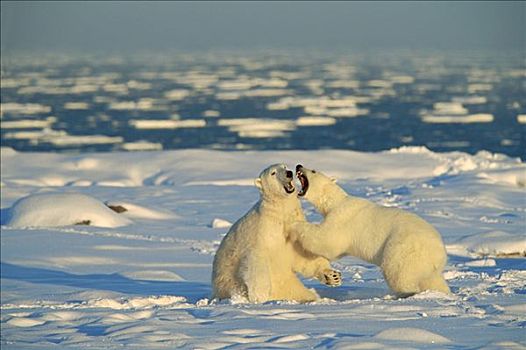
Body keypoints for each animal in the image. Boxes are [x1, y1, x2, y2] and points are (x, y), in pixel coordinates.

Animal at [212, 164, 344, 304]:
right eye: (273, 173)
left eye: (284, 166)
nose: (289, 173)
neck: (280, 214)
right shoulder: (262, 233)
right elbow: (256, 262)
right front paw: (260, 297)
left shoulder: (293, 233)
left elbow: (303, 254)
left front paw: (332, 276)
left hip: (290, 285)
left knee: (303, 293)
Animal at [290, 165, 452, 296]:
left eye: (313, 170)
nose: (298, 166)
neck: (335, 202)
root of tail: (439, 251)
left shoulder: (342, 218)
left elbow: (327, 240)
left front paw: (295, 224)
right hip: (426, 262)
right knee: (431, 278)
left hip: (403, 247)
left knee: (398, 272)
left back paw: (405, 293)